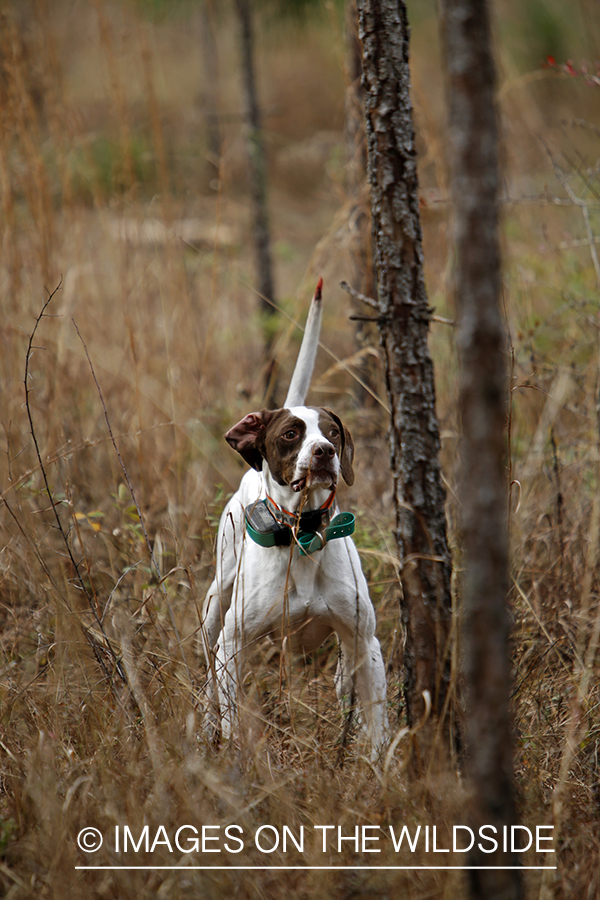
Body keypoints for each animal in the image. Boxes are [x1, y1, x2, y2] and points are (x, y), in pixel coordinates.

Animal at [203, 280, 390, 752]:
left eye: (334, 432)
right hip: (215, 602)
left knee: (344, 683)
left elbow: (378, 728)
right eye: (291, 434)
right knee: (208, 685)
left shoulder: (366, 643)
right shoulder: (232, 645)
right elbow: (232, 716)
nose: (324, 452)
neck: (302, 536)